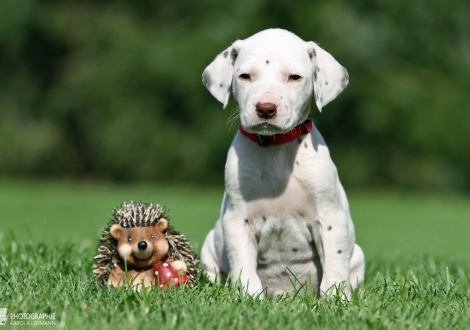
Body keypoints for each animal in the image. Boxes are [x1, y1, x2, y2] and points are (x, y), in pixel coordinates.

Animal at [200, 29, 366, 300]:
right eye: (245, 76)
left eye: (294, 77)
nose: (265, 108)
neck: (275, 147)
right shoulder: (237, 221)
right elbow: (243, 265)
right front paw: (249, 297)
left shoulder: (330, 219)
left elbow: (335, 262)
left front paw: (335, 297)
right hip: (209, 248)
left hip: (358, 257)